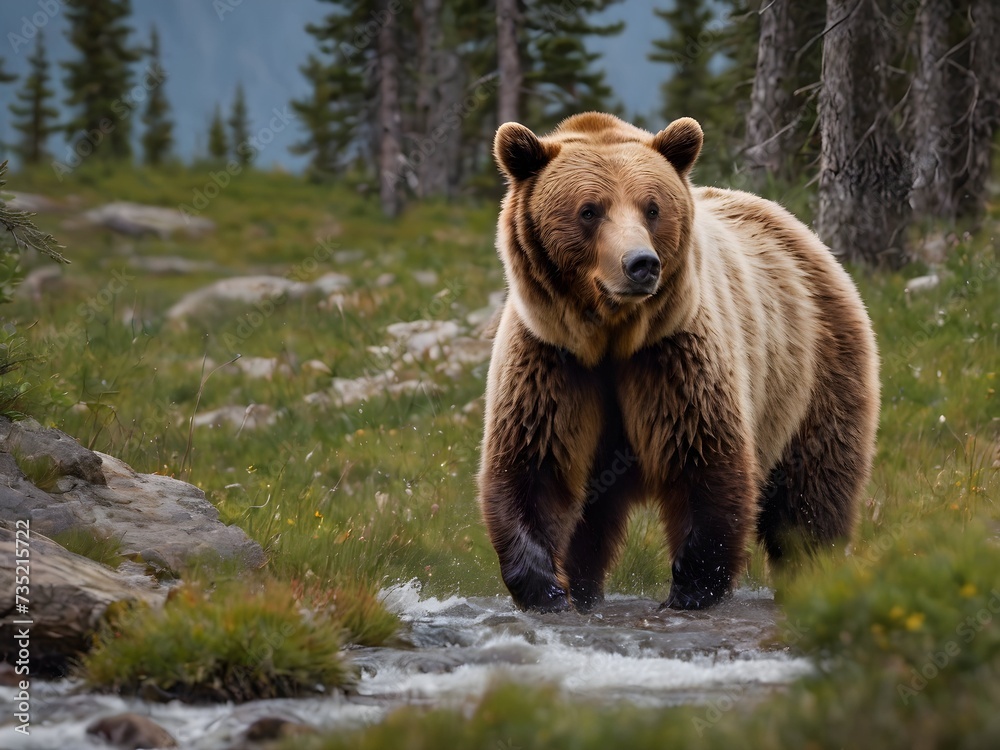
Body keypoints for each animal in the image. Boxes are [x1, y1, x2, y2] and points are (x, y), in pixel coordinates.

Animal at [478, 111, 880, 612]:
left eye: (651, 208)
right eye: (590, 209)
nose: (641, 264)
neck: (611, 338)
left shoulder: (674, 355)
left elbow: (703, 460)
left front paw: (690, 589)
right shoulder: (551, 359)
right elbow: (534, 466)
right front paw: (547, 589)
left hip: (814, 368)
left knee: (812, 496)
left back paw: (812, 576)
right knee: (591, 523)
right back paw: (586, 589)